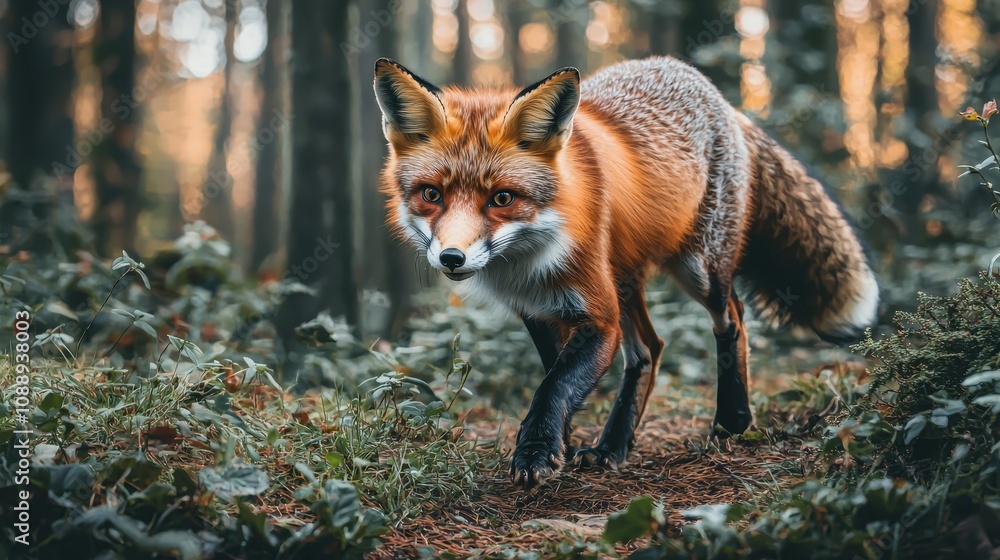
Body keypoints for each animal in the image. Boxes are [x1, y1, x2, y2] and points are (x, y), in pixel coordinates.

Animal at [373, 56, 879, 489]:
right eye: (432, 194)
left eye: (502, 198)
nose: (451, 258)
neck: (529, 258)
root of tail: (714, 93)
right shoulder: (536, 310)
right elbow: (555, 378)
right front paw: (560, 443)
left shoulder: (599, 315)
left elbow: (554, 386)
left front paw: (535, 452)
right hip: (626, 281)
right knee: (649, 350)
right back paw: (613, 446)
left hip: (697, 270)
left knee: (731, 317)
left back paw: (731, 422)